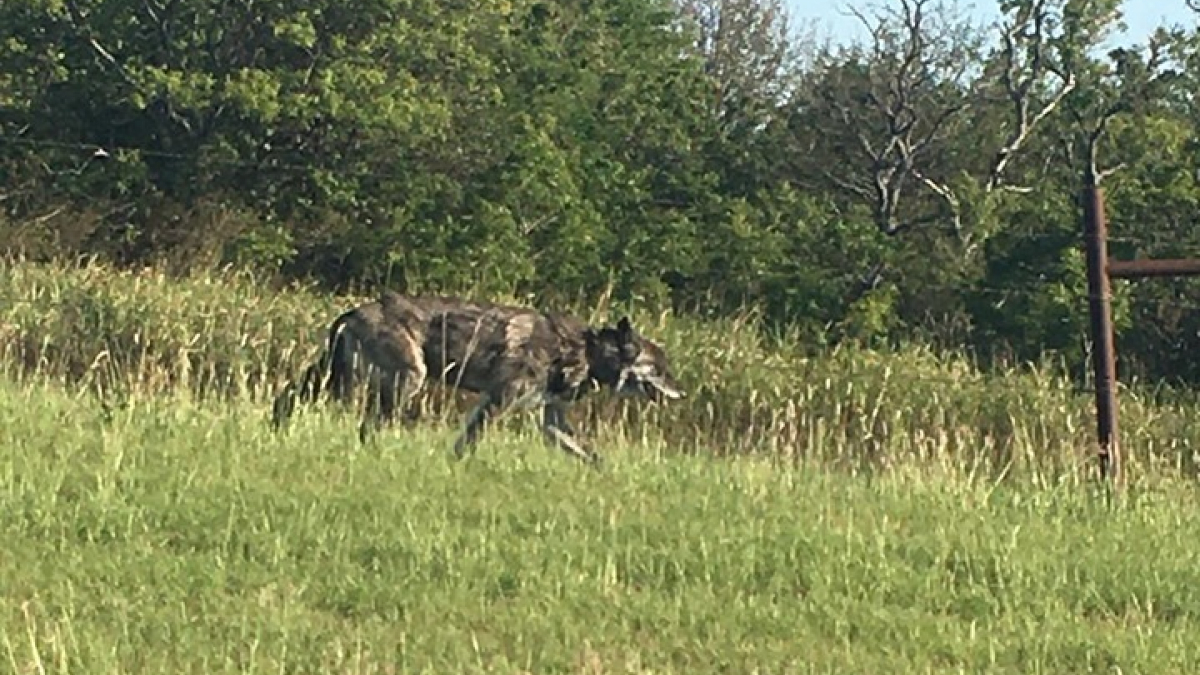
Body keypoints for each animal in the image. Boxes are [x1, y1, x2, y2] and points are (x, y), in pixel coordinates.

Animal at [273, 291, 686, 466]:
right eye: (660, 368)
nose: (681, 392)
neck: (585, 351)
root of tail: (352, 313)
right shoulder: (498, 401)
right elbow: (468, 443)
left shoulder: (551, 420)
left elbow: (590, 455)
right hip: (404, 379)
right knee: (368, 426)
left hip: (337, 381)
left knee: (288, 400)